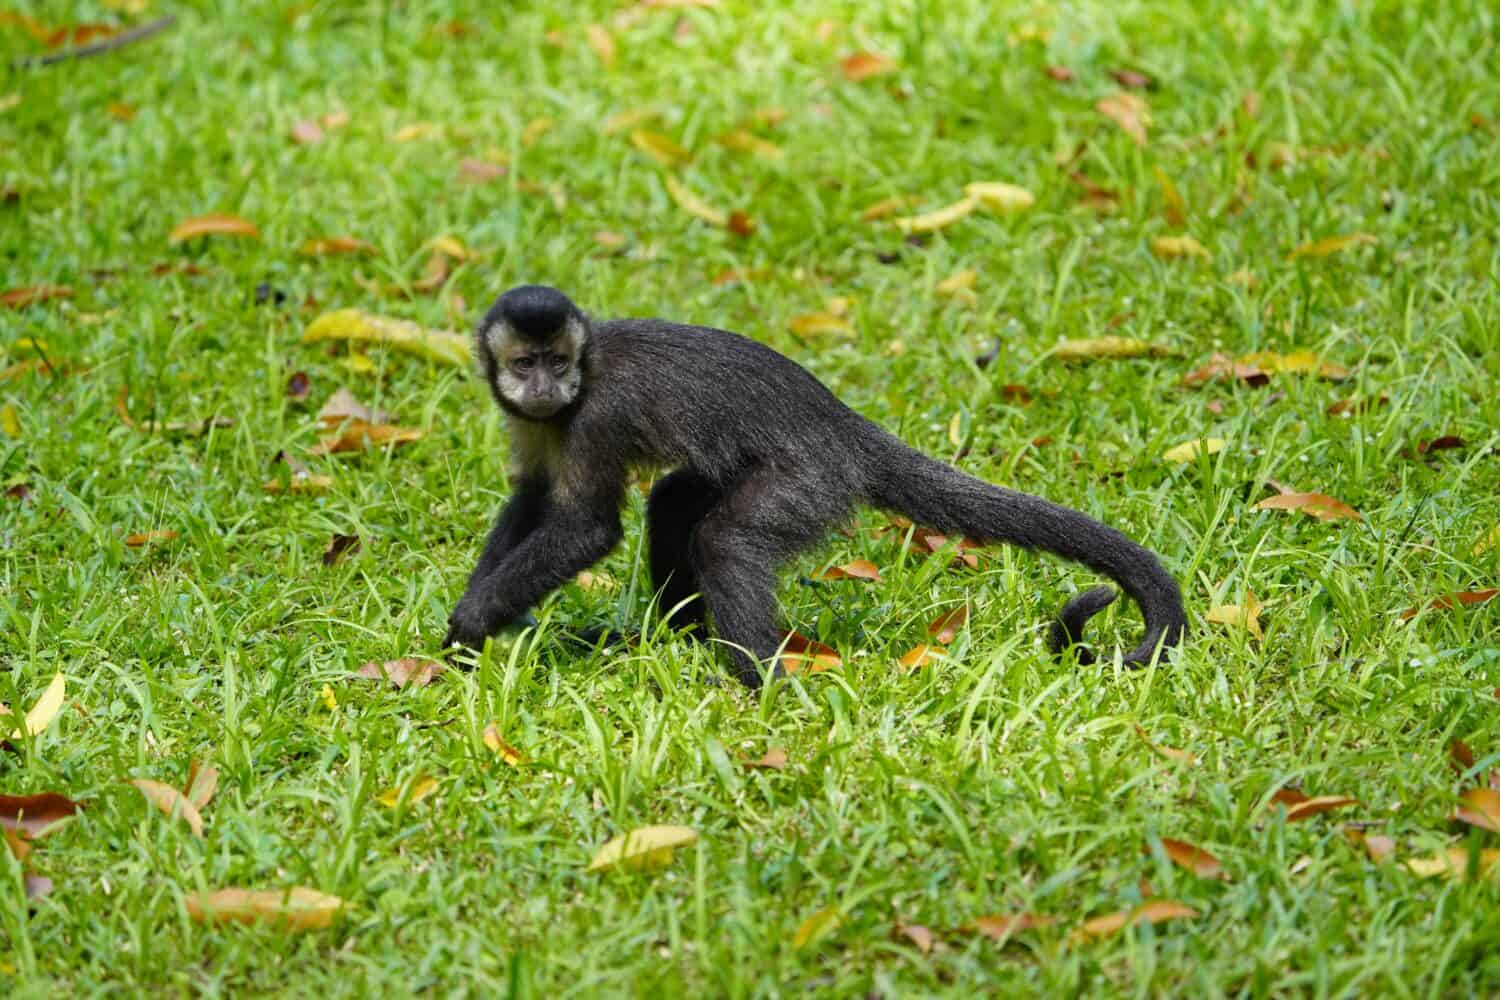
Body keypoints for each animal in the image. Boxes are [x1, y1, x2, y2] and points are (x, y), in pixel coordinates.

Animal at [444, 285, 1188, 688]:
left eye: (558, 361)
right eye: (526, 365)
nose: (546, 386)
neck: (575, 392)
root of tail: (842, 425)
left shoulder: (594, 416)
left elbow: (587, 528)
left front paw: (473, 622)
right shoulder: (535, 422)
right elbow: (534, 497)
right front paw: (467, 638)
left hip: (810, 478)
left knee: (727, 541)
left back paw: (757, 680)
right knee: (678, 504)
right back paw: (681, 637)